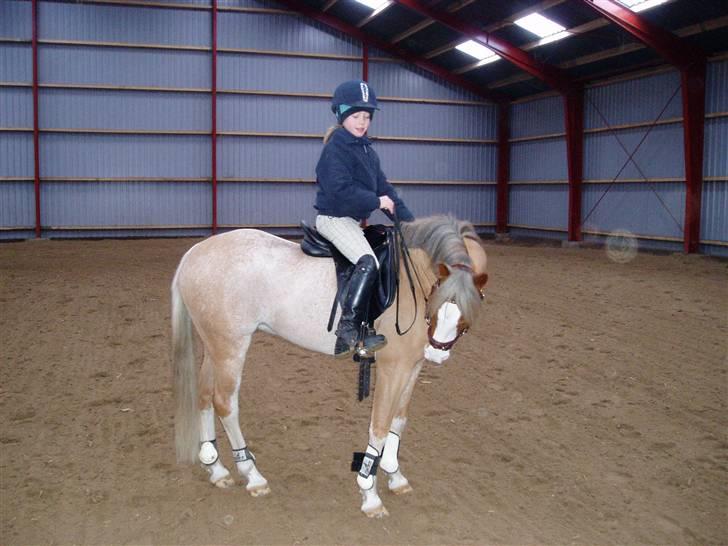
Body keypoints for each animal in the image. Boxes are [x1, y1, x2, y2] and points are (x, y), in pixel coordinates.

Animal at [171, 215, 489, 518]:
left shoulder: (412, 367)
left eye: (473, 303)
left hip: (214, 346)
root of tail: (194, 253)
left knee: (204, 396)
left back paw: (216, 469)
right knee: (225, 403)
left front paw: (395, 476)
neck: (408, 280)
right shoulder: (392, 368)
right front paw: (370, 494)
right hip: (231, 348)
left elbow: (398, 421)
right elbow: (380, 426)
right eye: (437, 292)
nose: (438, 353)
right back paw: (253, 476)